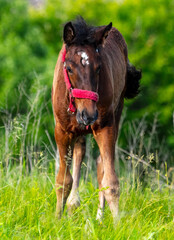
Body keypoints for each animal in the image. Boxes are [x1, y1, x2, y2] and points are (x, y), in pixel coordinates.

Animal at [51, 16, 141, 219]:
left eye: (99, 68)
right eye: (69, 68)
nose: (89, 114)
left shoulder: (105, 127)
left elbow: (111, 182)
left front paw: (118, 224)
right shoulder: (61, 130)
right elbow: (63, 180)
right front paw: (56, 220)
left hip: (115, 114)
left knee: (101, 164)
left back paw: (99, 217)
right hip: (77, 129)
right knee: (80, 152)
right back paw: (73, 205)